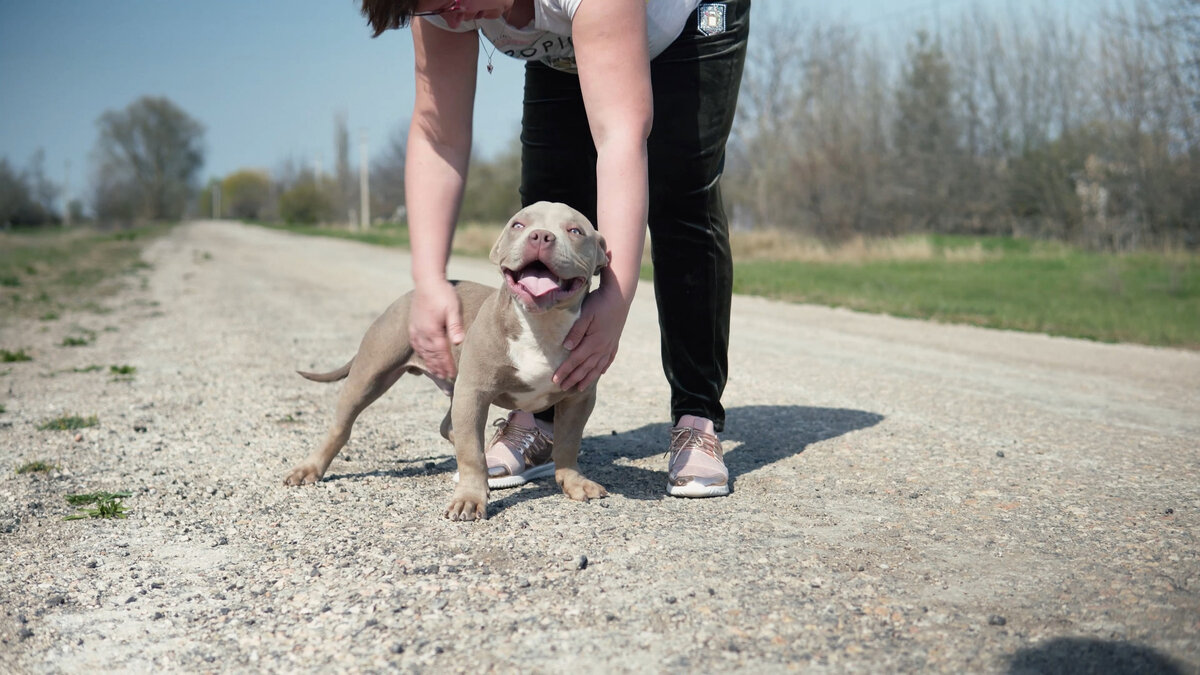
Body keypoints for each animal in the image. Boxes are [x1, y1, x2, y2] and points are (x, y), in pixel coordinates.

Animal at [282, 200, 609, 521]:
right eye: (518, 225)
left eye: (575, 230)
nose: (540, 236)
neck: (541, 326)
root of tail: (407, 297)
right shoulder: (474, 392)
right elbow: (471, 454)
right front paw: (470, 499)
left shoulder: (579, 398)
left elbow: (568, 443)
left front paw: (573, 481)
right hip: (370, 375)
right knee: (342, 426)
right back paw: (309, 468)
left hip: (453, 387)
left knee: (449, 427)